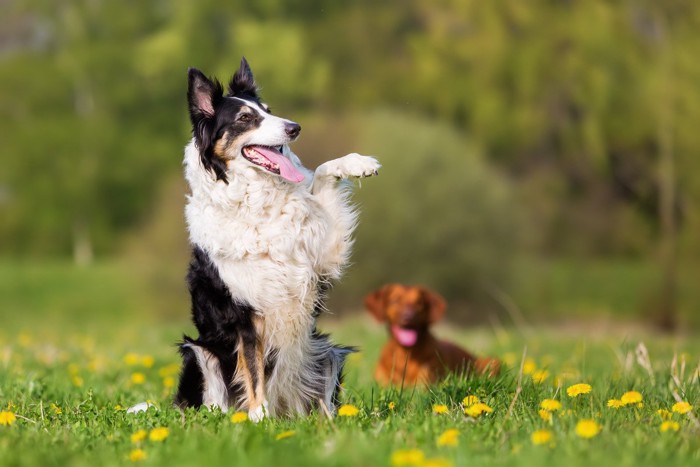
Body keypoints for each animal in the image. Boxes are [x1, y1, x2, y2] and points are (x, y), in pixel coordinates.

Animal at [175, 57, 382, 420]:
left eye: (269, 111)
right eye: (245, 118)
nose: (294, 127)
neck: (257, 201)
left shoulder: (323, 259)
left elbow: (324, 172)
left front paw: (357, 163)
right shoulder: (243, 311)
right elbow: (253, 368)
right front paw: (259, 418)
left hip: (325, 350)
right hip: (199, 351)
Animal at [364, 286, 500, 388]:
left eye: (419, 303)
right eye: (395, 300)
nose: (409, 317)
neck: (405, 353)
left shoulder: (423, 383)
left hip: (492, 361)